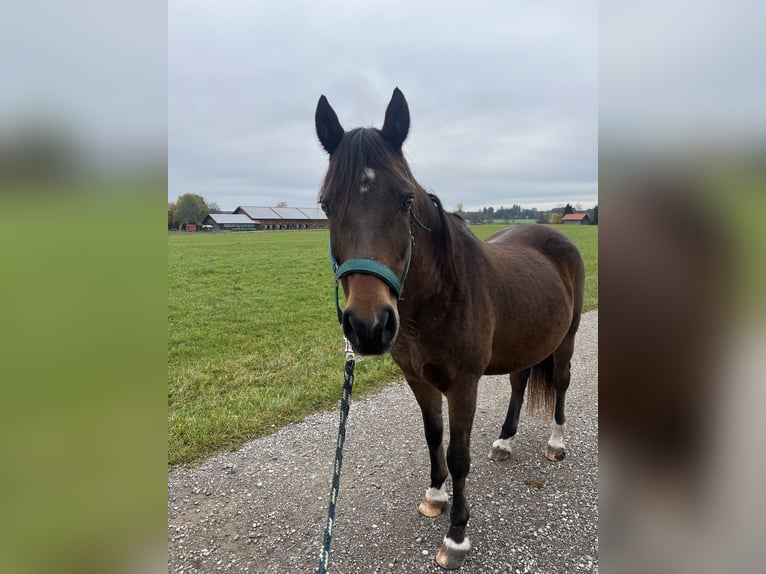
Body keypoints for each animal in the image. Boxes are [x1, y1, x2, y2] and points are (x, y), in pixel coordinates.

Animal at [316, 89, 584, 572]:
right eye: (326, 205)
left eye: (406, 200)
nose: (369, 325)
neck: (438, 297)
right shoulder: (418, 380)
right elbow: (434, 437)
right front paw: (435, 495)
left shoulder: (463, 385)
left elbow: (459, 456)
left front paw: (456, 534)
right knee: (519, 383)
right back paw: (504, 441)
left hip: (567, 340)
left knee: (561, 382)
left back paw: (556, 442)